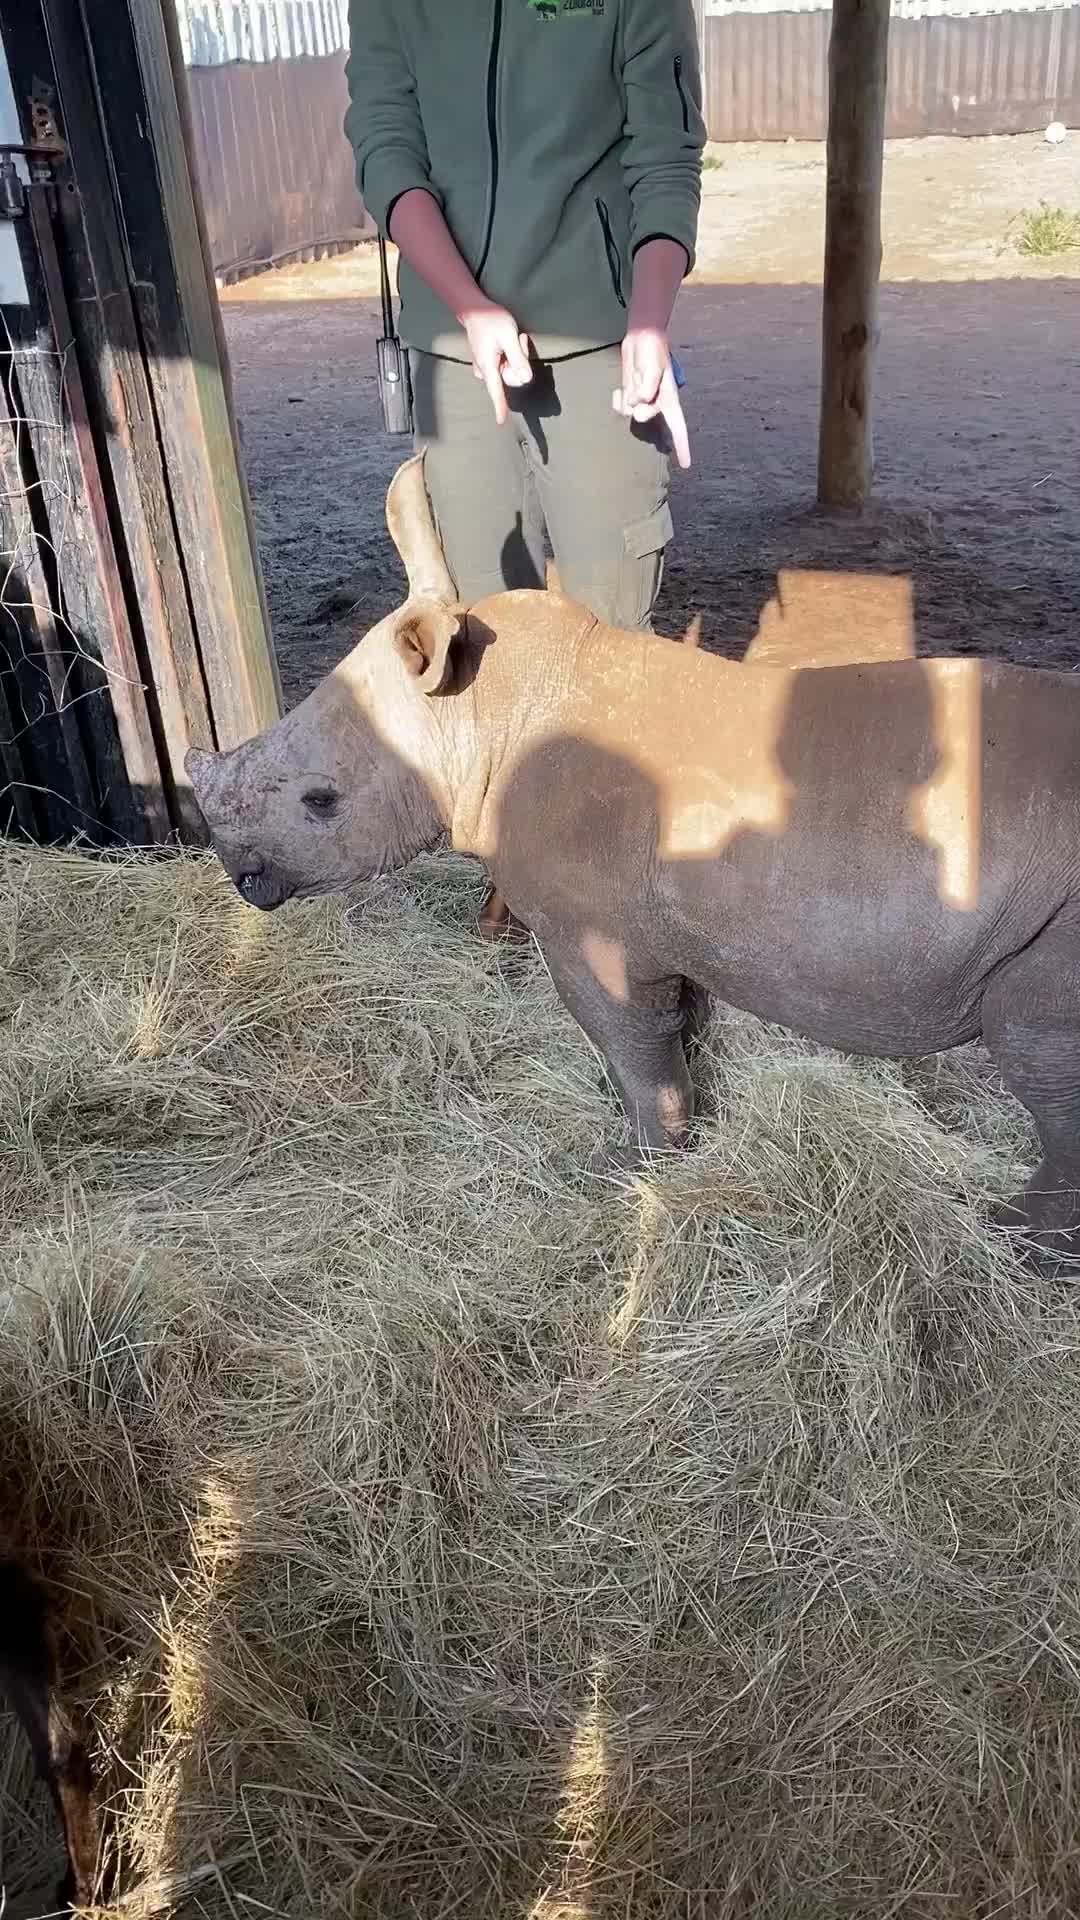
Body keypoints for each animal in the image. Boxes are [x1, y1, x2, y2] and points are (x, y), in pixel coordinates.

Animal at [189, 458, 1076, 1267]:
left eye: (320, 801)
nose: (240, 878)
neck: (476, 716)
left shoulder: (591, 931)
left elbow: (628, 1042)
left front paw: (629, 1167)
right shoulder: (682, 923)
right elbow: (674, 1030)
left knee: (1038, 1056)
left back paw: (1019, 1243)